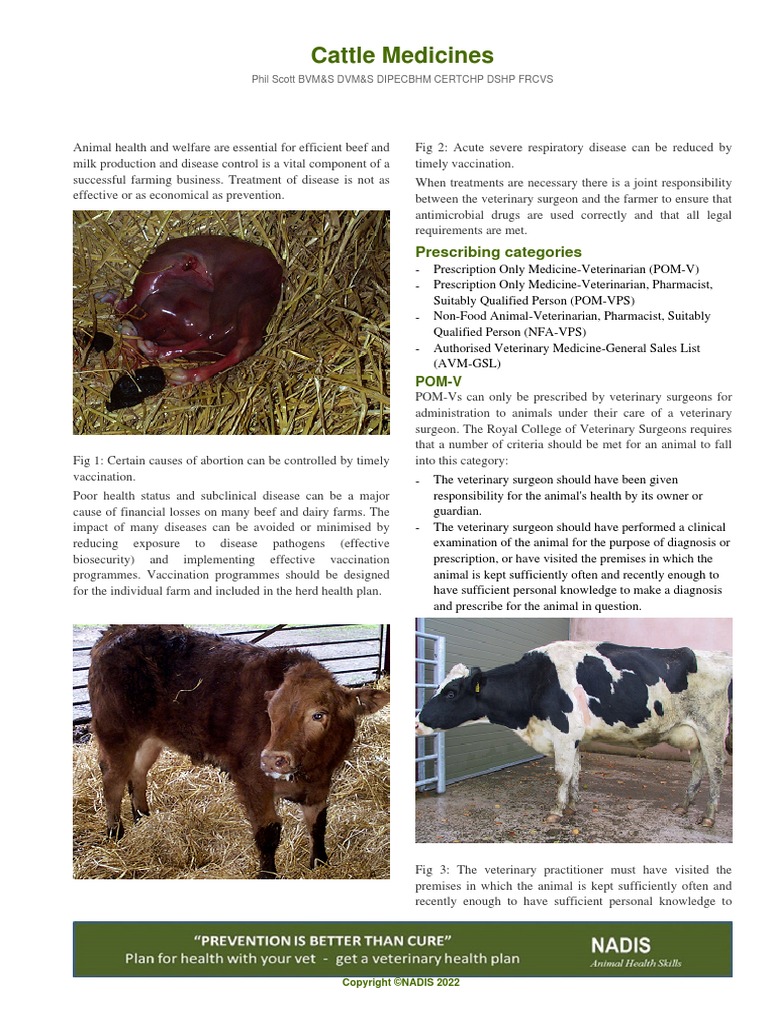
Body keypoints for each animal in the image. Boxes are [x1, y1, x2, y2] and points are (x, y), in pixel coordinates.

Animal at [88, 624, 389, 877]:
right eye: (270, 713)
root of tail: (115, 632)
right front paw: (267, 875)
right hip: (116, 732)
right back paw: (115, 832)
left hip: (149, 739)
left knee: (137, 773)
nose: (272, 759)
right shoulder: (253, 780)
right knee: (113, 780)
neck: (310, 769)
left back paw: (142, 817)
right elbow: (268, 833)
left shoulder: (321, 784)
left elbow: (318, 824)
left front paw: (320, 862)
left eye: (318, 715)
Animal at [415, 641, 732, 828]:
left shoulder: (564, 732)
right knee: (698, 768)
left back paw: (708, 817)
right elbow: (575, 772)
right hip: (693, 734)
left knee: (716, 770)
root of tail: (718, 654)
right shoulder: (573, 736)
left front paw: (556, 811)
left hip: (713, 728)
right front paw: (572, 806)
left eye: (451, 692)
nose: (417, 721)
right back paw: (683, 807)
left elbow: (561, 774)